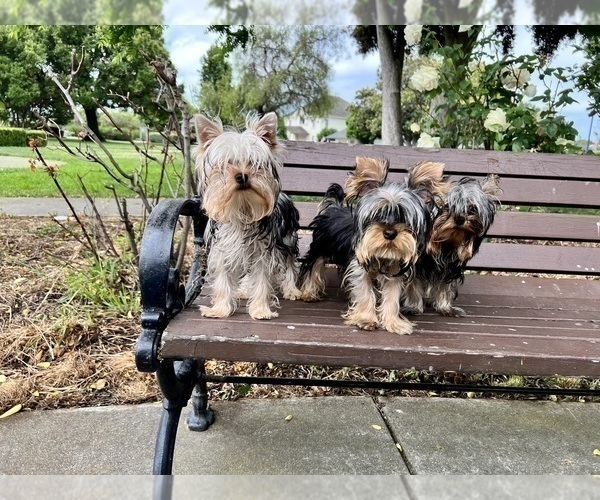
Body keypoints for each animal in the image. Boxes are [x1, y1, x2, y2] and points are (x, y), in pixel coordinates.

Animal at [196, 111, 302, 318]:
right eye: (226, 164)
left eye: (254, 163)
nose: (242, 175)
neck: (242, 208)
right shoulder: (224, 250)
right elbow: (223, 280)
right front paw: (220, 310)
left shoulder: (265, 252)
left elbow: (262, 279)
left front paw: (261, 309)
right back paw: (245, 290)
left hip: (287, 239)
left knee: (289, 262)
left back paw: (291, 289)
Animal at [298, 158, 432, 334]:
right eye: (378, 214)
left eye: (404, 217)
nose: (390, 233)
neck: (384, 252)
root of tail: (334, 208)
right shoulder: (359, 267)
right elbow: (365, 292)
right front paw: (366, 319)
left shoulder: (395, 270)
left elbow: (392, 296)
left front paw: (393, 322)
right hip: (320, 246)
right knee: (313, 264)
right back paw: (309, 292)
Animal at [404, 164, 502, 316]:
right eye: (446, 206)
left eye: (472, 208)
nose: (460, 218)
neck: (445, 243)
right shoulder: (415, 264)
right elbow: (413, 284)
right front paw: (413, 307)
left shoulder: (449, 267)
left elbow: (445, 286)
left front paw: (445, 307)